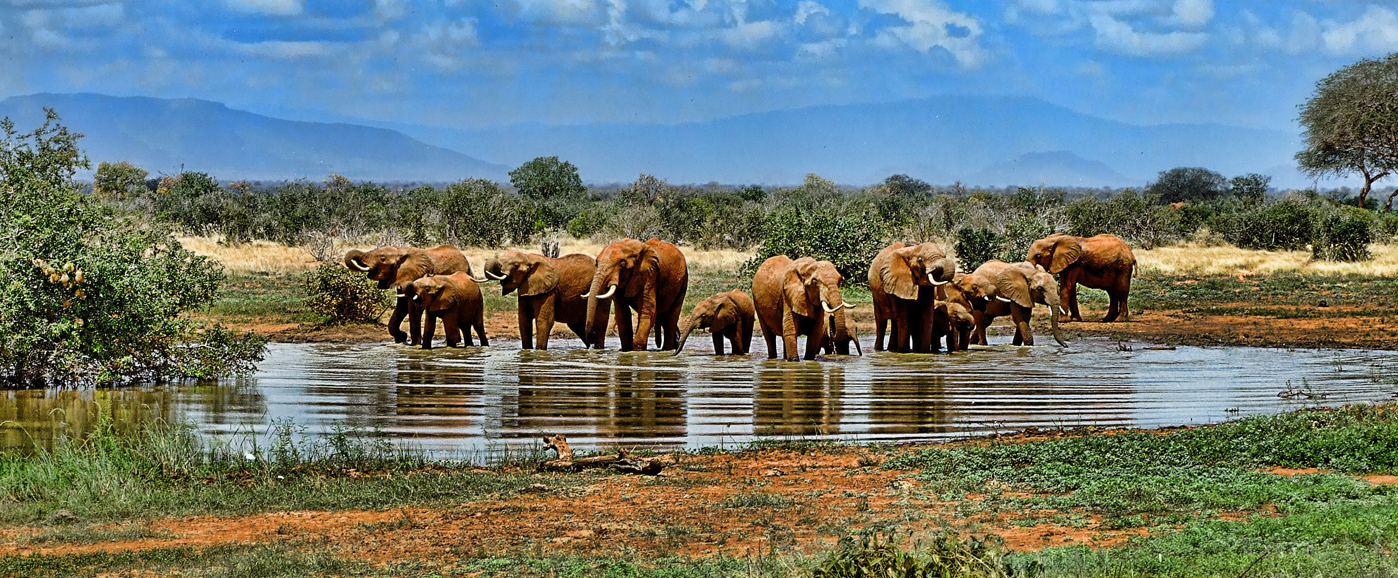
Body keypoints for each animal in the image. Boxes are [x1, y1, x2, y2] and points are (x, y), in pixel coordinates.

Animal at [343, 244, 480, 344]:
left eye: (382, 258)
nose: (404, 334)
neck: (400, 251)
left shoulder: (415, 277)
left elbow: (413, 307)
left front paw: (415, 345)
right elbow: (402, 306)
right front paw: (401, 338)